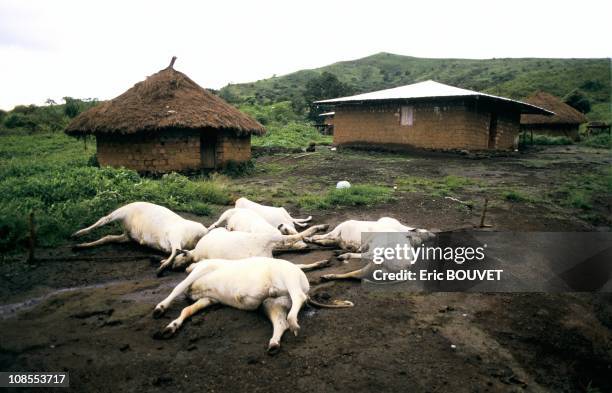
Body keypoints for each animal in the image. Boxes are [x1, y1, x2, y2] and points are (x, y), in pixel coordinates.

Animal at [153, 258, 354, 352]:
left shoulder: (203, 269)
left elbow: (177, 287)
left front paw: (160, 309)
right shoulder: (210, 299)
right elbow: (187, 309)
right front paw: (171, 327)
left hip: (289, 277)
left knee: (298, 298)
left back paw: (293, 322)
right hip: (271, 303)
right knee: (281, 322)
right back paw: (274, 343)